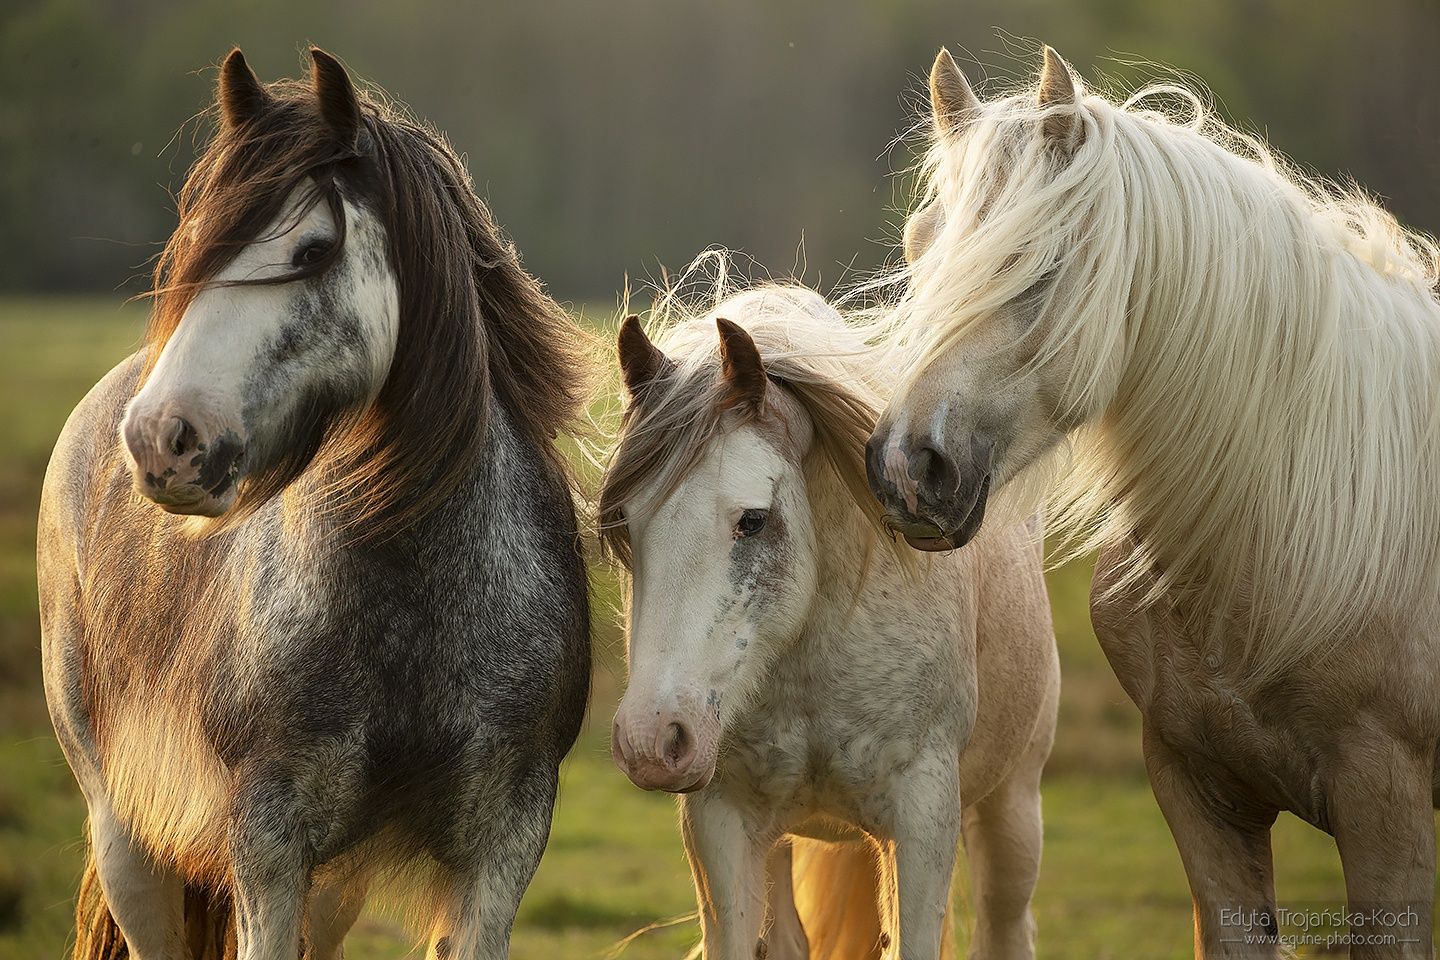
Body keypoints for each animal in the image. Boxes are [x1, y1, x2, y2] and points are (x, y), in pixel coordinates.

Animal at [37, 46, 590, 960]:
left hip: (336, 883)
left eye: (313, 248)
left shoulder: (503, 843)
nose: (158, 439)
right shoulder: (266, 840)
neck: (414, 608)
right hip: (130, 841)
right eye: (195, 242)